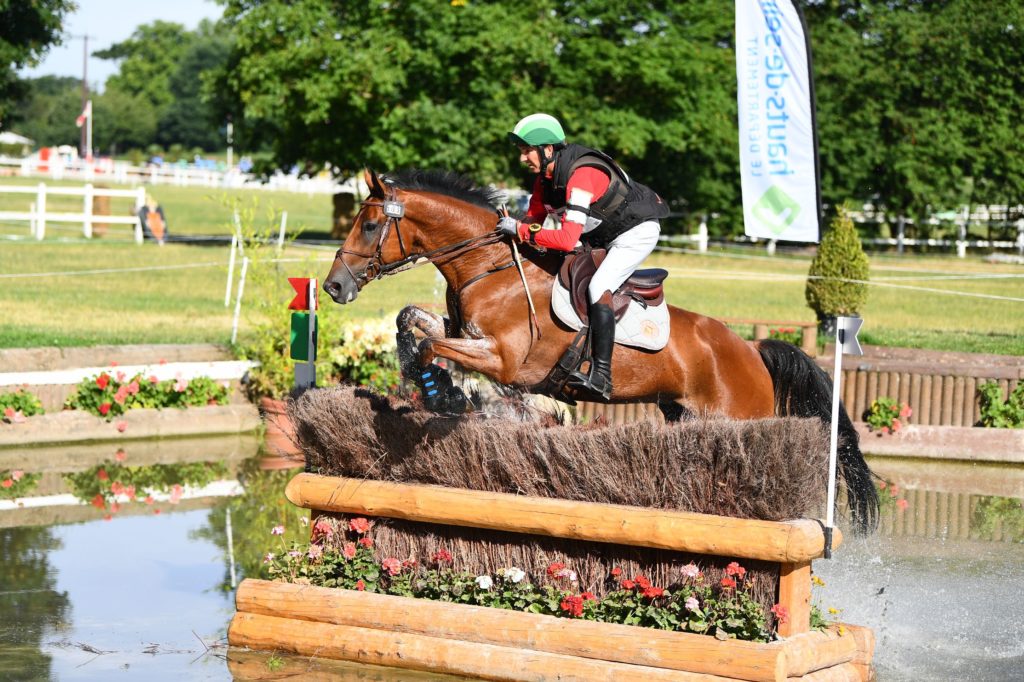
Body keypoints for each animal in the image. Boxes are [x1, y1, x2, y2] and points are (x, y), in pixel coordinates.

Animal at [323, 166, 876, 528]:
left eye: (369, 225)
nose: (333, 286)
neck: (488, 267)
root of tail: (752, 350)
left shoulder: (503, 359)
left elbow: (438, 349)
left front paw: (444, 393)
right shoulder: (466, 333)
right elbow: (413, 321)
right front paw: (431, 381)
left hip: (739, 417)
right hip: (685, 414)